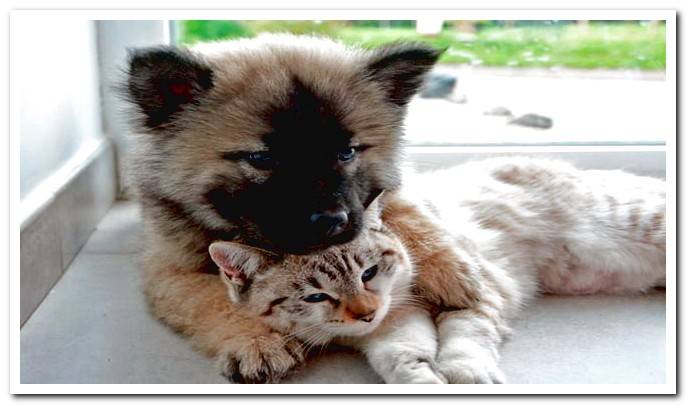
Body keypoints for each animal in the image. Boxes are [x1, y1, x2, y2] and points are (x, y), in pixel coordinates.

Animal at [210, 156, 668, 384]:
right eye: (316, 296)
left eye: (369, 273)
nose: (366, 313)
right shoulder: (392, 326)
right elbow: (403, 356)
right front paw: (423, 381)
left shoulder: (477, 294)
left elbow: (465, 337)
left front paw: (467, 377)